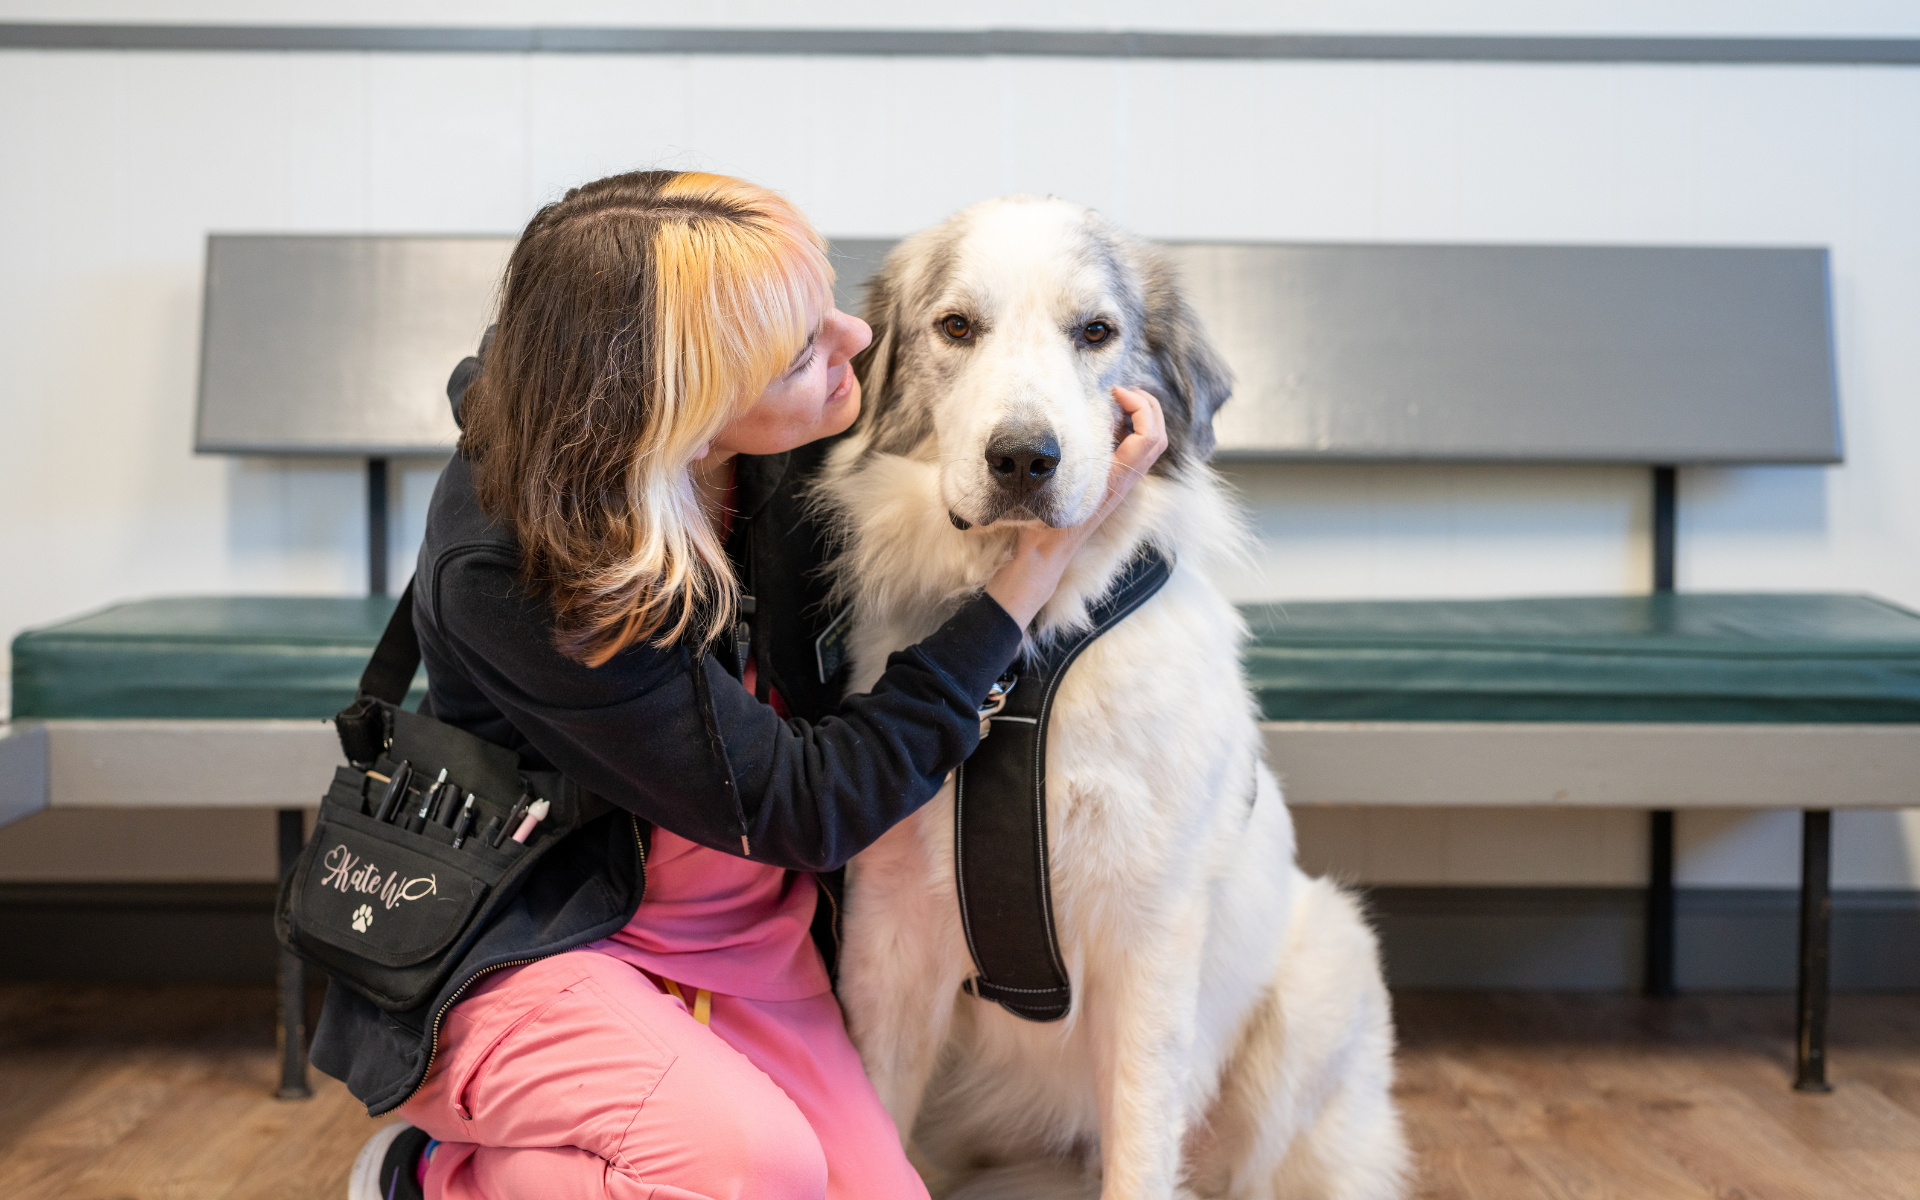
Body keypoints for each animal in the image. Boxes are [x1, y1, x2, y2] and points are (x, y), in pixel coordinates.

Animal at [814, 198, 1413, 1198]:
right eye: (956, 328)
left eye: (1095, 333)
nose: (1024, 458)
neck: (1026, 666)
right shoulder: (888, 935)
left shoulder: (1150, 943)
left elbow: (1140, 1148)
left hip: (1323, 977)